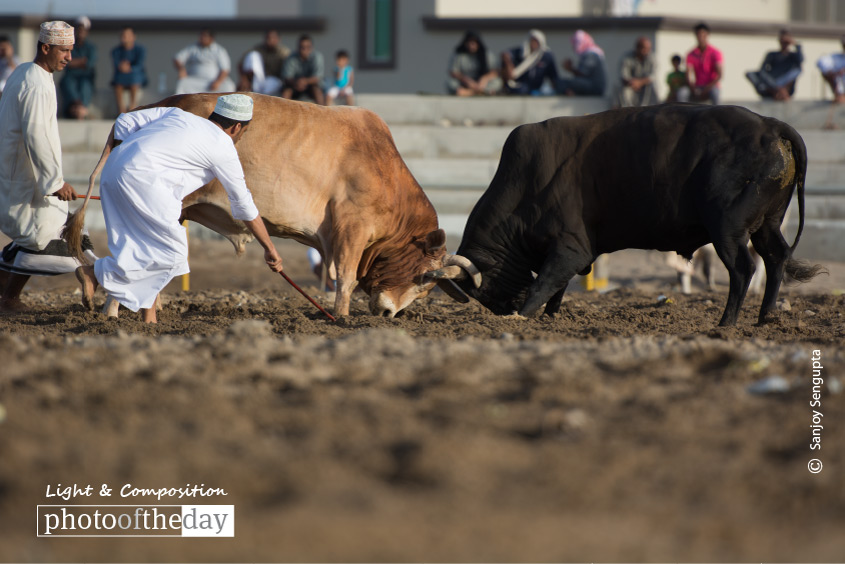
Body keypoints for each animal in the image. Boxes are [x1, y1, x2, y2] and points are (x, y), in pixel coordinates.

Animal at [426, 104, 820, 326]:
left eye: (485, 292)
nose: (502, 308)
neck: (526, 181)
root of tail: (770, 125)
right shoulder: (572, 254)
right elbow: (556, 289)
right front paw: (549, 319)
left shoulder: (571, 248)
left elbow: (544, 284)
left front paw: (521, 318)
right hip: (766, 225)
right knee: (776, 258)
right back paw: (764, 318)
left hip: (728, 230)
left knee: (743, 269)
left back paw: (726, 323)